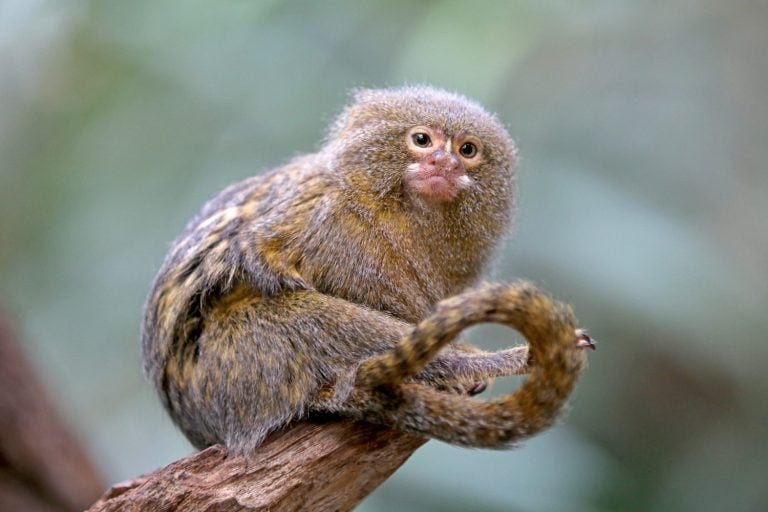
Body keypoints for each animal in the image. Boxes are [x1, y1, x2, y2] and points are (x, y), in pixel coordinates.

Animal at [141, 86, 593, 455]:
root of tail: (202, 428)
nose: (443, 162)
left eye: (468, 150)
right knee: (311, 320)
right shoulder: (337, 232)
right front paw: (467, 362)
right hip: (234, 367)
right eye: (421, 140)